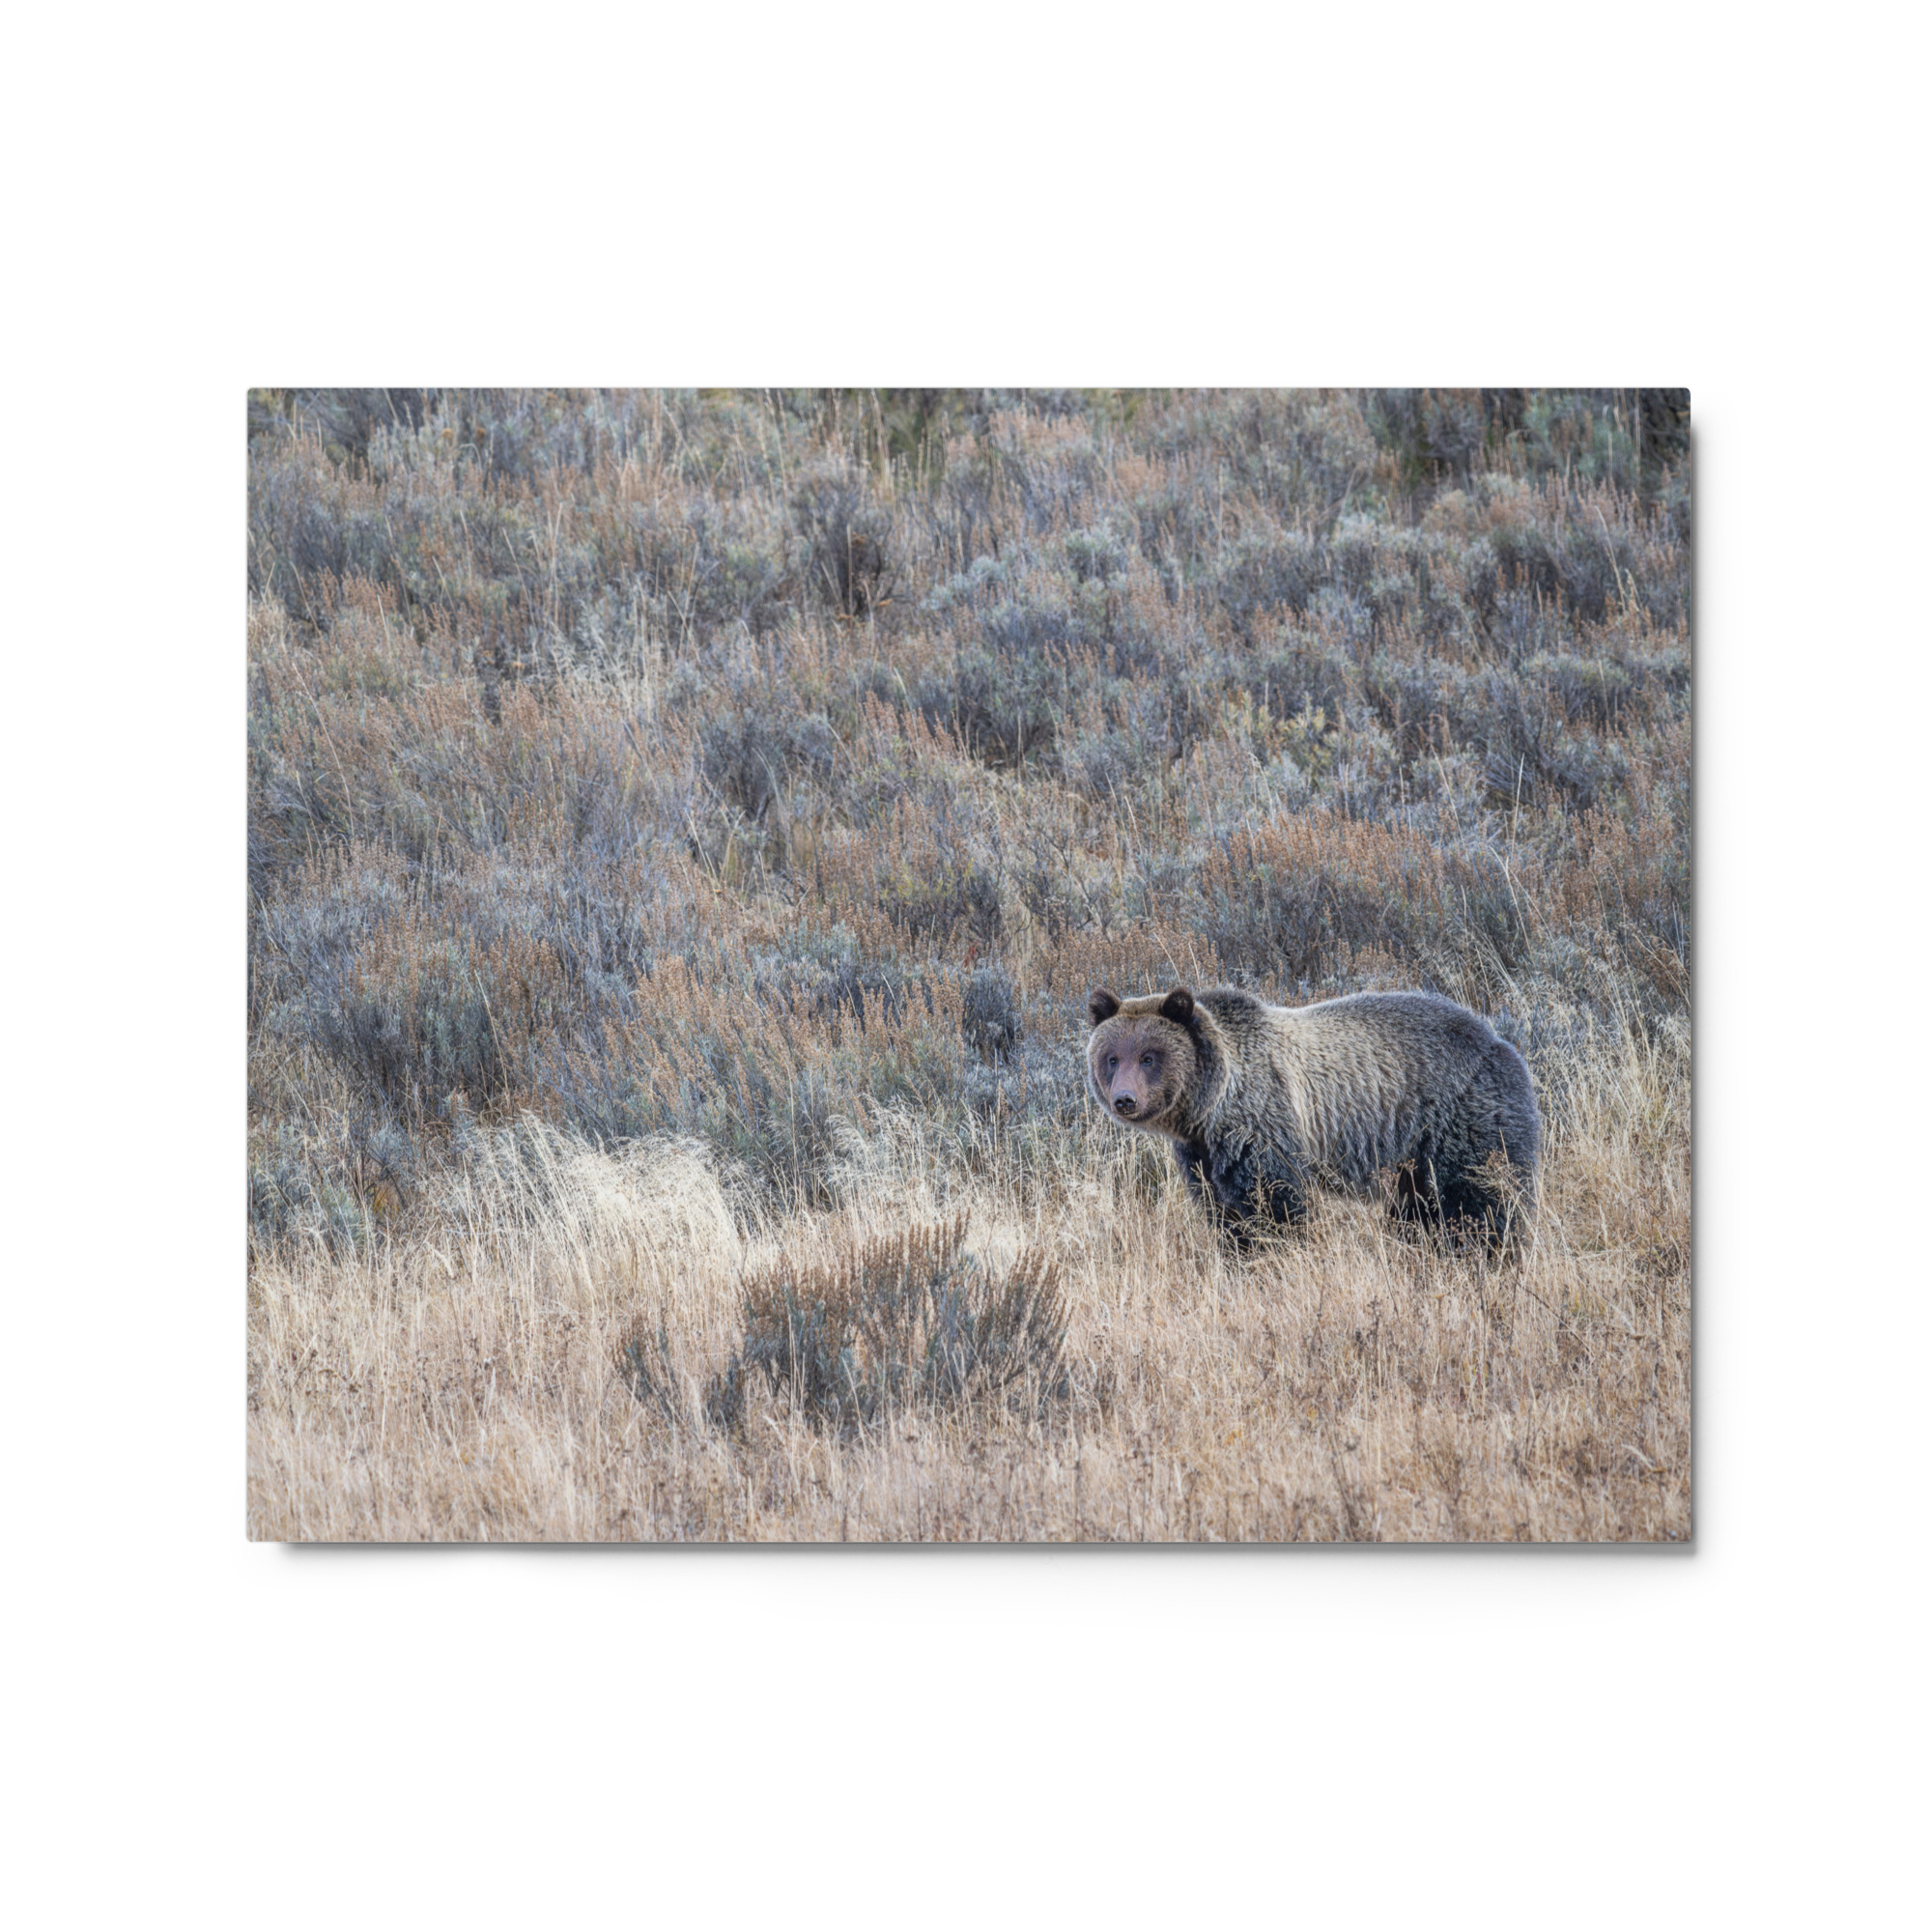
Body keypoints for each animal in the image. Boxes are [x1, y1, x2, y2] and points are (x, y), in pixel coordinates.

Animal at [1086, 984, 1539, 1247]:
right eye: (1112, 1058)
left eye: (1149, 1057)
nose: (1125, 1100)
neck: (1209, 1108)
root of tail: (1500, 1041)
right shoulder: (1202, 1155)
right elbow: (1223, 1212)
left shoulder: (1263, 1125)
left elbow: (1275, 1205)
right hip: (1413, 1159)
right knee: (1418, 1210)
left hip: (1462, 1119)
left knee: (1480, 1200)